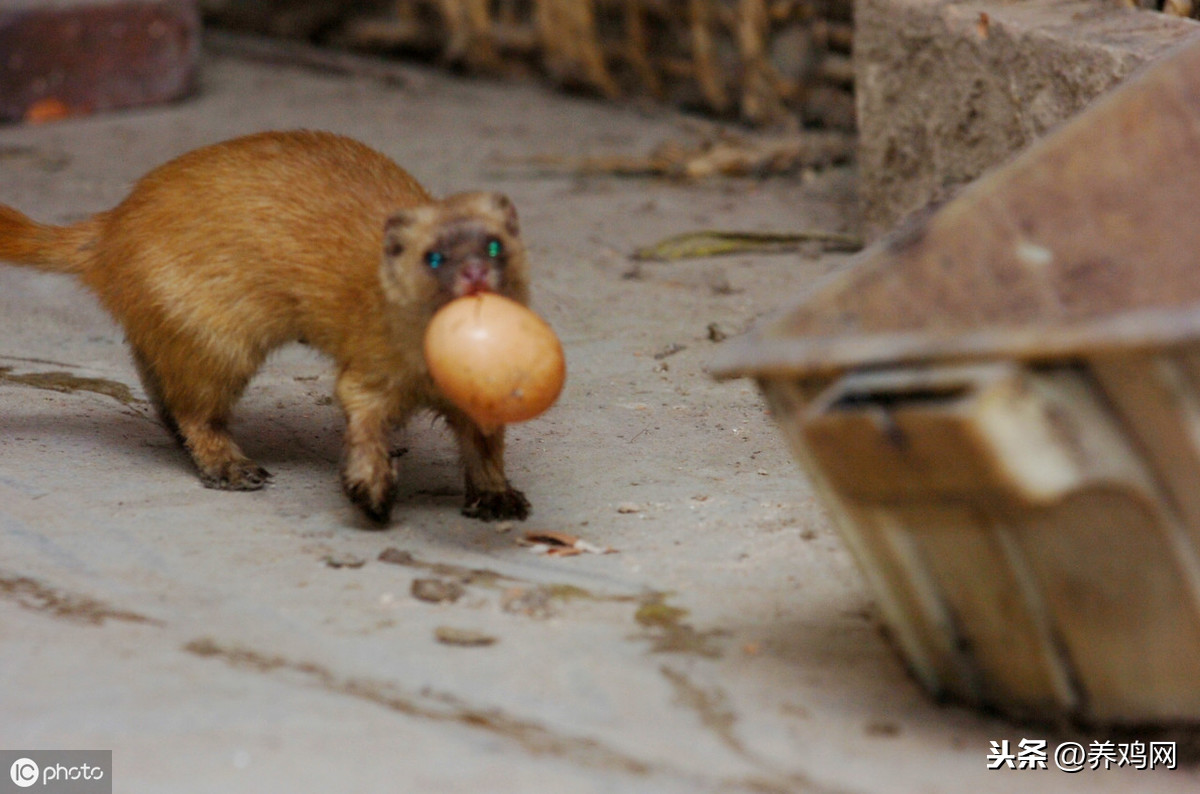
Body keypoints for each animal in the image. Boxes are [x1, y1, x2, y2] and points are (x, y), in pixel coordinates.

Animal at [0, 130, 535, 525]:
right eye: (433, 256)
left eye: (494, 245)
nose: (474, 274)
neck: (430, 374)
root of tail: (110, 228)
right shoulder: (369, 366)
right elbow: (361, 414)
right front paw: (371, 486)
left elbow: (485, 445)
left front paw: (498, 497)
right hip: (211, 335)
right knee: (195, 408)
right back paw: (230, 466)